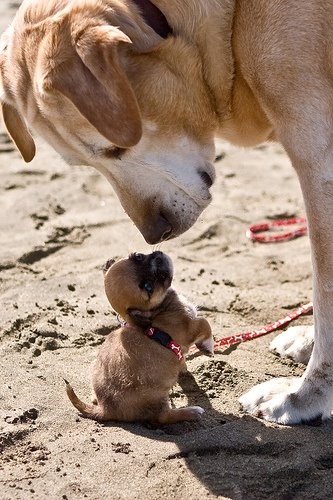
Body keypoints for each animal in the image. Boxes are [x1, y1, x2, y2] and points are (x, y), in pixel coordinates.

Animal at [65, 252, 213, 424]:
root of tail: (106, 409)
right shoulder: (191, 327)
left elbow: (182, 357)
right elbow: (205, 323)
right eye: (148, 287)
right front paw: (208, 346)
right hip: (158, 398)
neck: (157, 311)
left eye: (138, 256)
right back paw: (191, 412)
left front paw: (183, 367)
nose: (159, 258)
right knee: (162, 417)